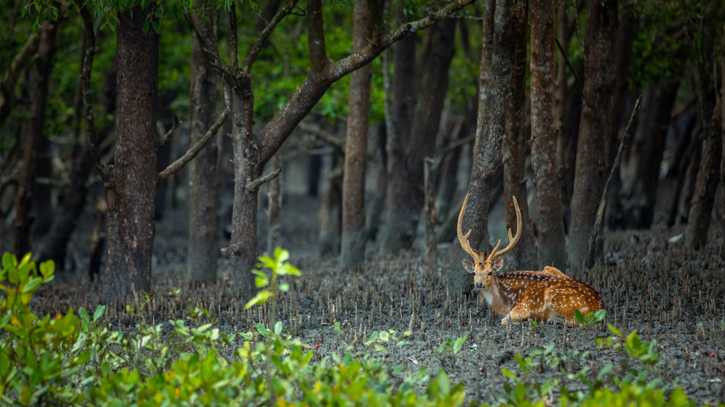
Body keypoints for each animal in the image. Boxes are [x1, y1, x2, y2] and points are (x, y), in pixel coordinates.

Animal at [458, 195, 604, 328]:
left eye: (490, 272)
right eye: (474, 272)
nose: (479, 284)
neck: (505, 302)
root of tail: (598, 306)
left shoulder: (522, 307)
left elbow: (504, 320)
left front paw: (525, 320)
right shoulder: (550, 269)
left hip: (555, 296)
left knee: (577, 322)